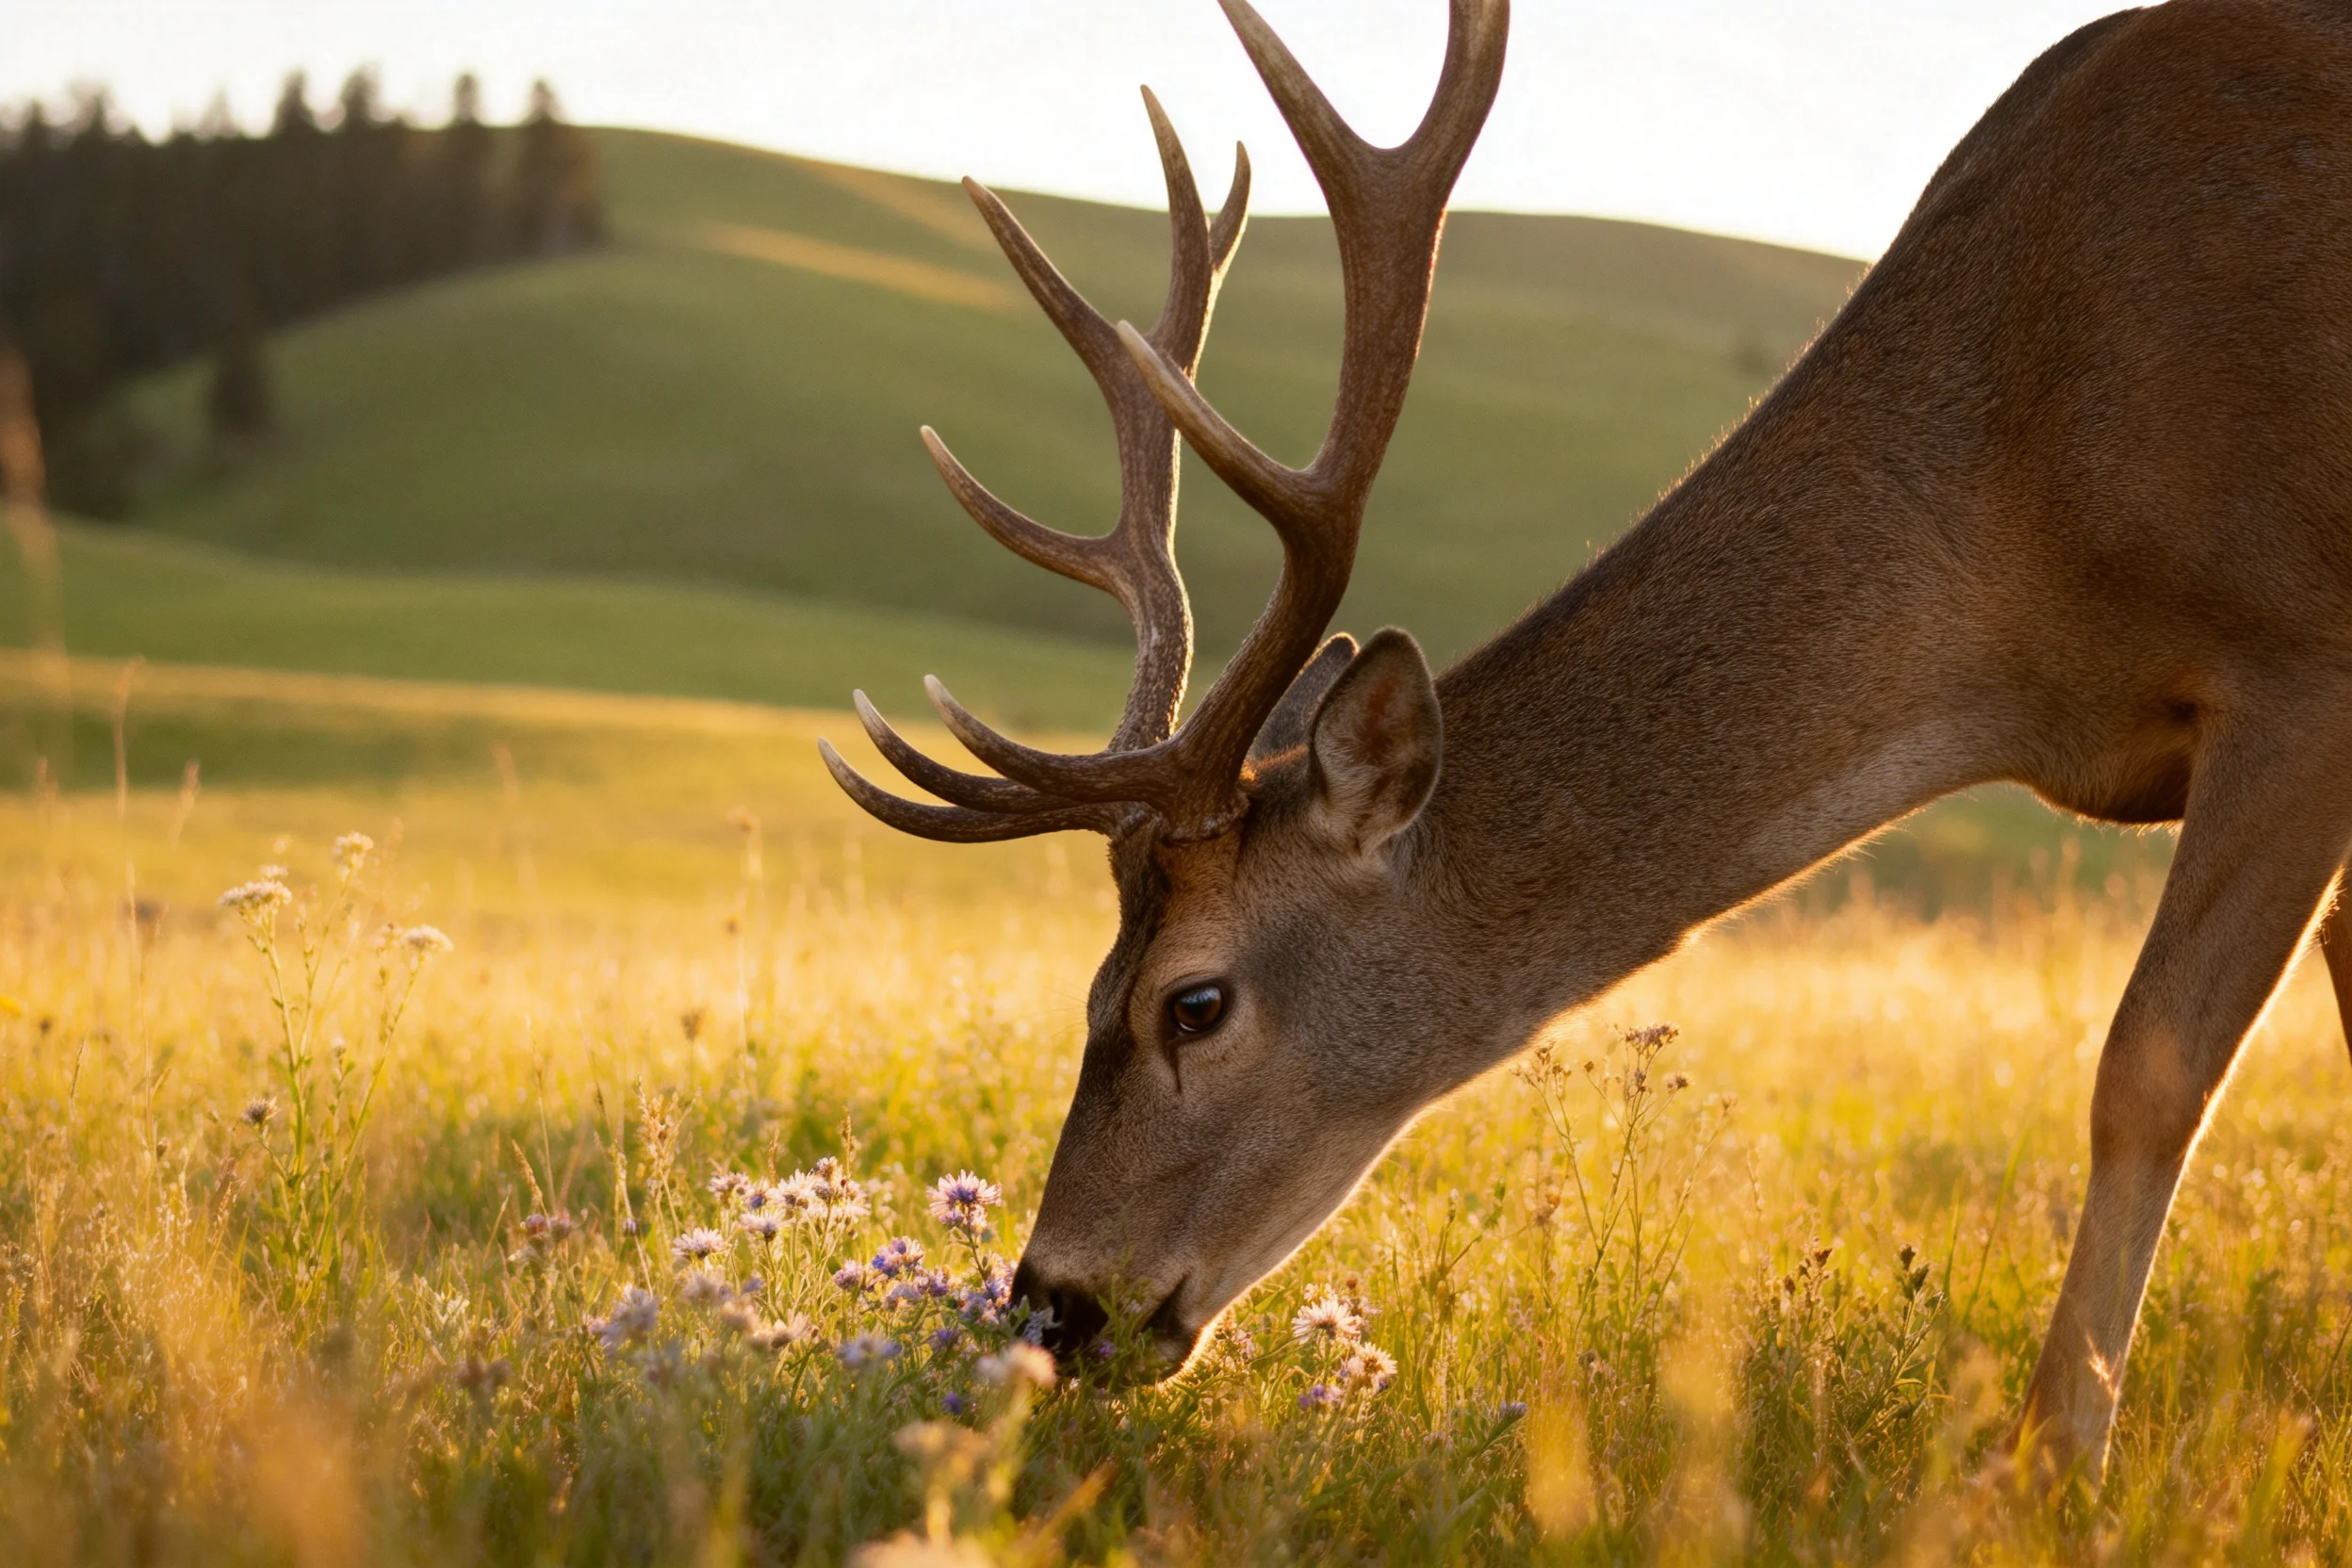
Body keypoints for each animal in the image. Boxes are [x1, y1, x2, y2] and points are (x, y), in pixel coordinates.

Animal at [818, 0, 2352, 1483]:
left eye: (1192, 1001)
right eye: (1091, 987)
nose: (1049, 1304)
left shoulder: (2301, 657)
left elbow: (2147, 1070)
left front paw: (2048, 1471)